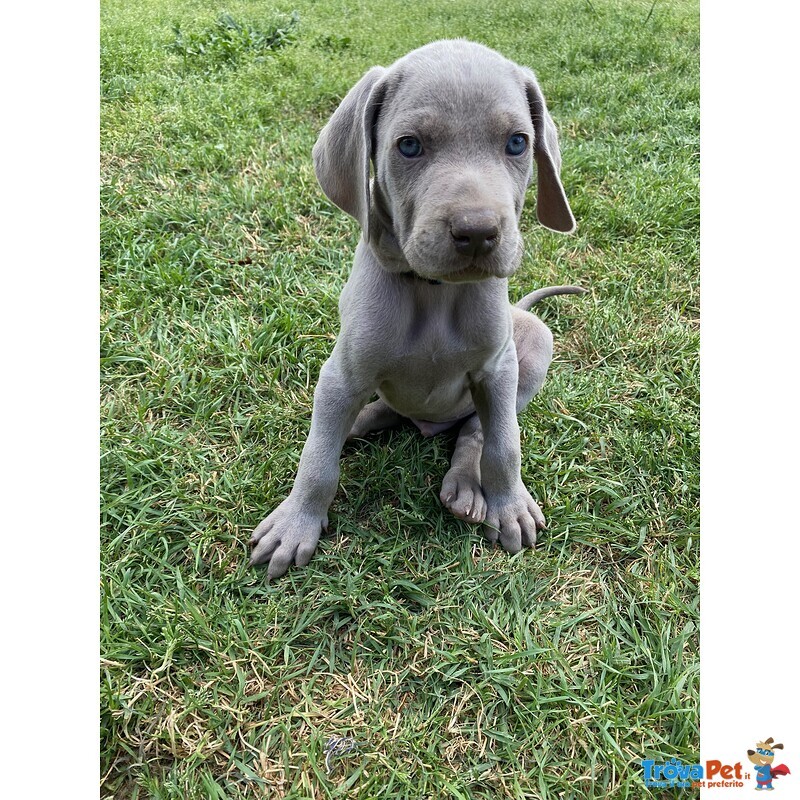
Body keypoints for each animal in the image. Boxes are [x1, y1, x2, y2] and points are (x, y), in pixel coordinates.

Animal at [253, 40, 584, 580]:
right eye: (409, 146)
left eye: (517, 143)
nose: (478, 232)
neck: (435, 293)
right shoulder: (341, 373)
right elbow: (318, 460)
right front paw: (296, 523)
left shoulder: (498, 368)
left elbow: (503, 446)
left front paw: (510, 504)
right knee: (371, 413)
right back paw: (356, 425)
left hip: (532, 343)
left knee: (473, 431)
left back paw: (467, 486)